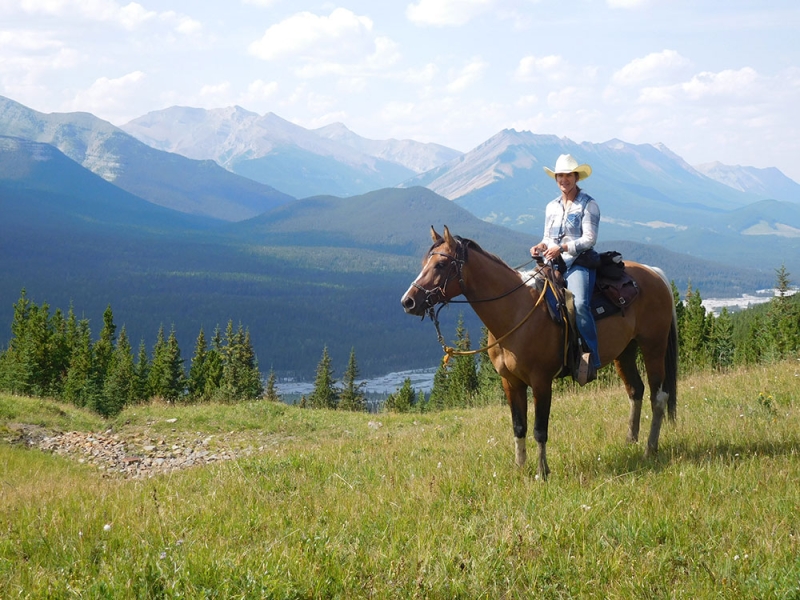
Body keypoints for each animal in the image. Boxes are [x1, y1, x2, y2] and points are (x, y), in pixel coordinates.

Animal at [400, 227, 676, 480]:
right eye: (425, 263)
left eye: (440, 264)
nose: (408, 301)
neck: (515, 311)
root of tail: (655, 273)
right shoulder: (511, 382)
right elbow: (519, 426)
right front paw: (519, 468)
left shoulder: (541, 381)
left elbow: (539, 428)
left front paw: (542, 473)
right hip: (625, 352)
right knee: (635, 390)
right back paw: (630, 441)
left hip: (653, 346)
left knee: (658, 396)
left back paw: (650, 448)